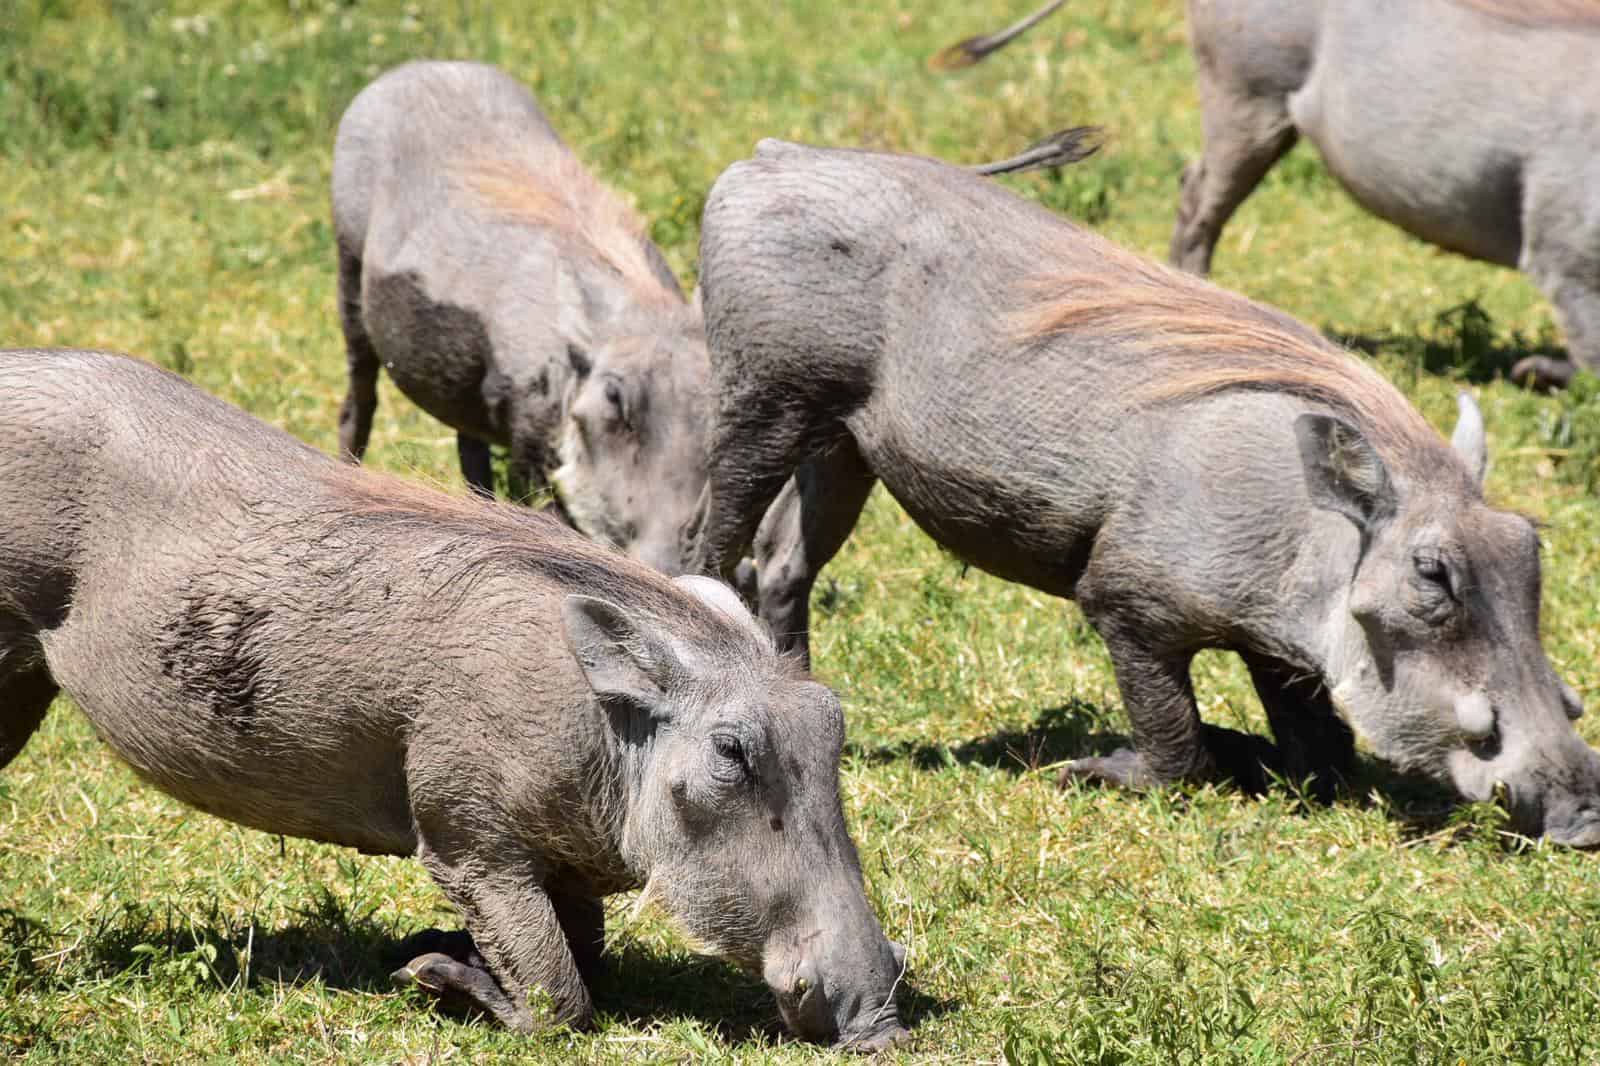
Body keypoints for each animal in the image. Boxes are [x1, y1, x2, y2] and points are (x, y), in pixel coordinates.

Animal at [0, 348, 909, 1050]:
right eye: (731, 753)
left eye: (833, 723)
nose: (885, 1025)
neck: (601, 724)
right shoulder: (472, 846)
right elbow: (559, 998)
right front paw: (434, 973)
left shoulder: (563, 856)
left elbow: (583, 956)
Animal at [331, 60, 710, 572]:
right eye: (615, 400)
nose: (668, 567)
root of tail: (410, 69)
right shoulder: (527, 439)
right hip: (349, 273)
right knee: (358, 399)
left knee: (468, 446)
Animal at [686, 140, 1600, 845]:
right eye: (1433, 576)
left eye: (1529, 550)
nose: (1585, 819)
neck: (1307, 531)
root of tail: (771, 155)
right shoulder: (1128, 604)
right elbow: (1177, 751)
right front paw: (1094, 769)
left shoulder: (1278, 647)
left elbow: (1322, 759)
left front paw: (1255, 753)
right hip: (763, 404)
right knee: (710, 549)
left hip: (844, 447)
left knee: (783, 567)